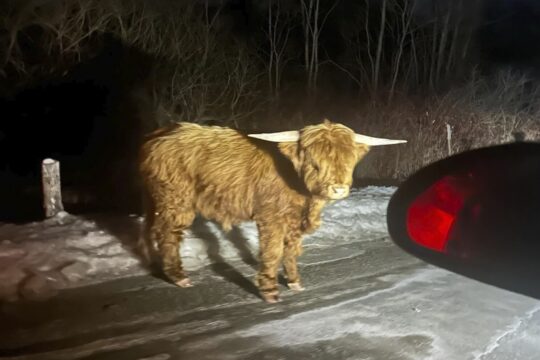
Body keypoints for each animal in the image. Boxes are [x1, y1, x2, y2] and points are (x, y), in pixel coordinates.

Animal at [139, 119, 404, 302]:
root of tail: (159, 134)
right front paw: (269, 291)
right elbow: (273, 250)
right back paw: (179, 277)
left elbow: (292, 250)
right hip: (176, 199)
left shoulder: (294, 219)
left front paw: (294, 282)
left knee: (150, 229)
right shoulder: (271, 216)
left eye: (349, 161)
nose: (338, 188)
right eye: (315, 163)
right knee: (168, 234)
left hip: (157, 200)